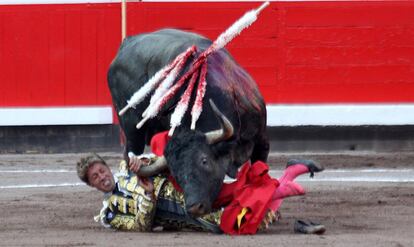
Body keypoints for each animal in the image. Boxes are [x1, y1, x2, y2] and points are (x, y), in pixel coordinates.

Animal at [107, 28, 268, 214]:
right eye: (175, 173)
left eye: (204, 160)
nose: (194, 207)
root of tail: (126, 43)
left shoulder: (262, 142)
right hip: (132, 129)